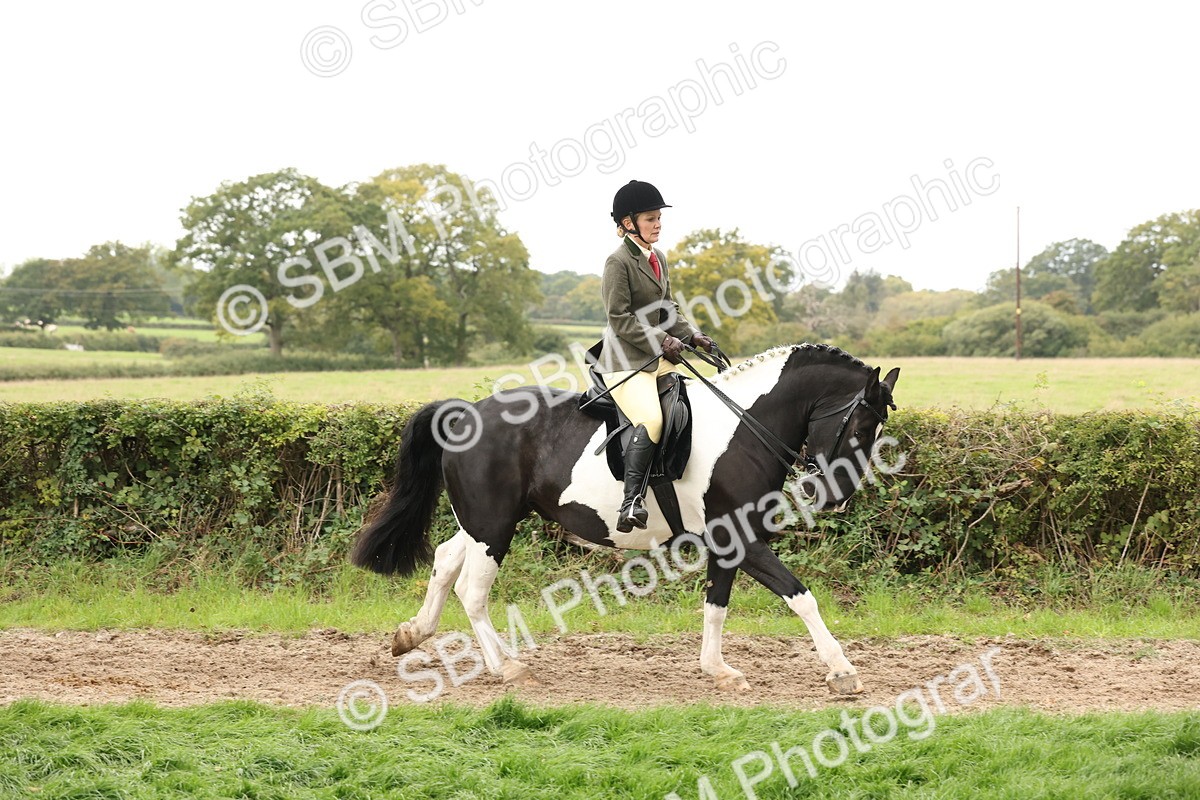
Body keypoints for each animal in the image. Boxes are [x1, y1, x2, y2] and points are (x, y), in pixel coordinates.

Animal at [351, 343, 900, 695]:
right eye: (861, 425)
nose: (836, 498)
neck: (742, 427)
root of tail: (463, 412)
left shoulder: (728, 540)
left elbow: (716, 605)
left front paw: (718, 671)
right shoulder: (740, 537)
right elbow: (800, 596)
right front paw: (842, 671)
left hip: (485, 522)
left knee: (446, 561)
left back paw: (412, 634)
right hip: (493, 525)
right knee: (472, 590)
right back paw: (507, 669)